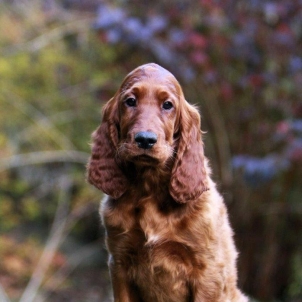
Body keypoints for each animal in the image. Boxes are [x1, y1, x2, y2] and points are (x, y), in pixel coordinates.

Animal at [87, 62, 248, 300]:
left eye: (167, 105)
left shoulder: (208, 274)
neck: (150, 188)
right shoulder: (119, 264)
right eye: (130, 101)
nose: (145, 140)